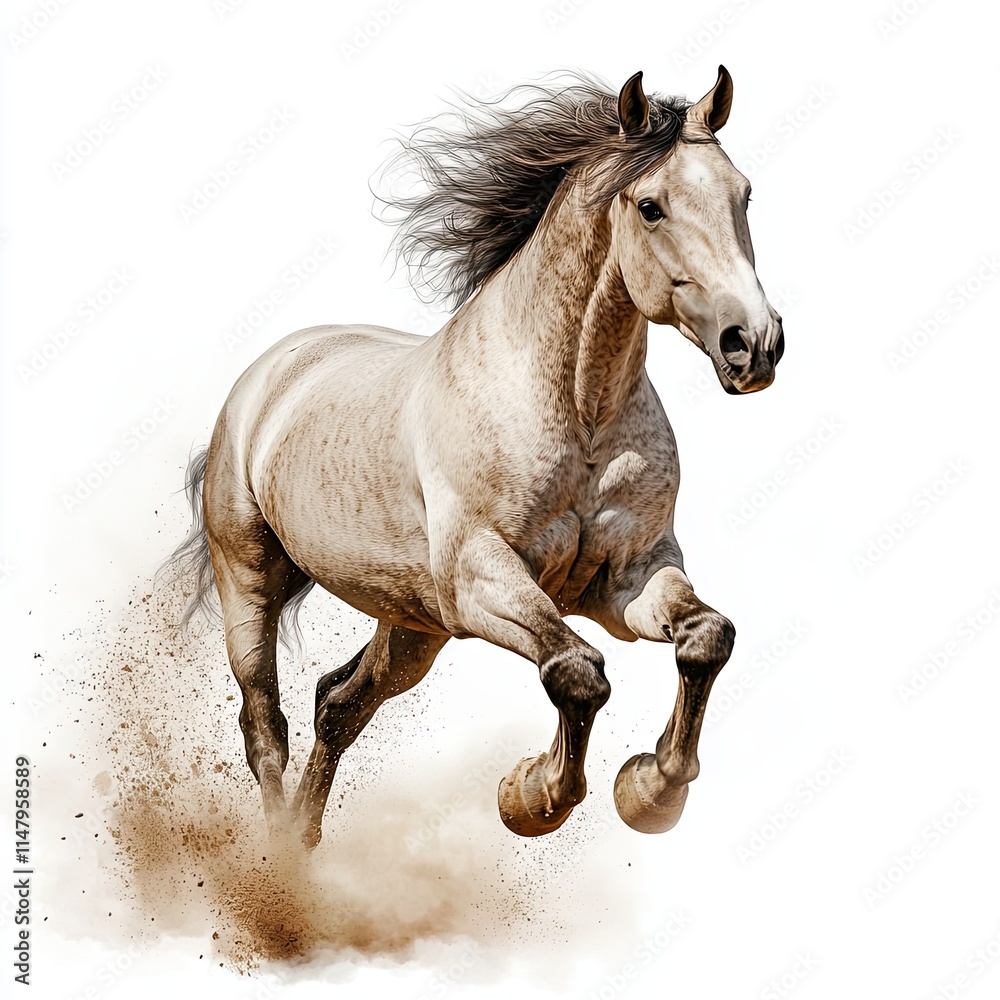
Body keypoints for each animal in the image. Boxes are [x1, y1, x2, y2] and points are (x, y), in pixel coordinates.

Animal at [172, 66, 784, 848]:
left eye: (743, 194)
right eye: (651, 207)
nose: (755, 344)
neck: (579, 415)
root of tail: (265, 377)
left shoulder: (631, 578)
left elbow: (706, 637)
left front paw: (651, 789)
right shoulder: (480, 579)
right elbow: (577, 670)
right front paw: (534, 795)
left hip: (413, 623)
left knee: (338, 704)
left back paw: (308, 852)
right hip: (252, 583)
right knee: (265, 730)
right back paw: (278, 864)